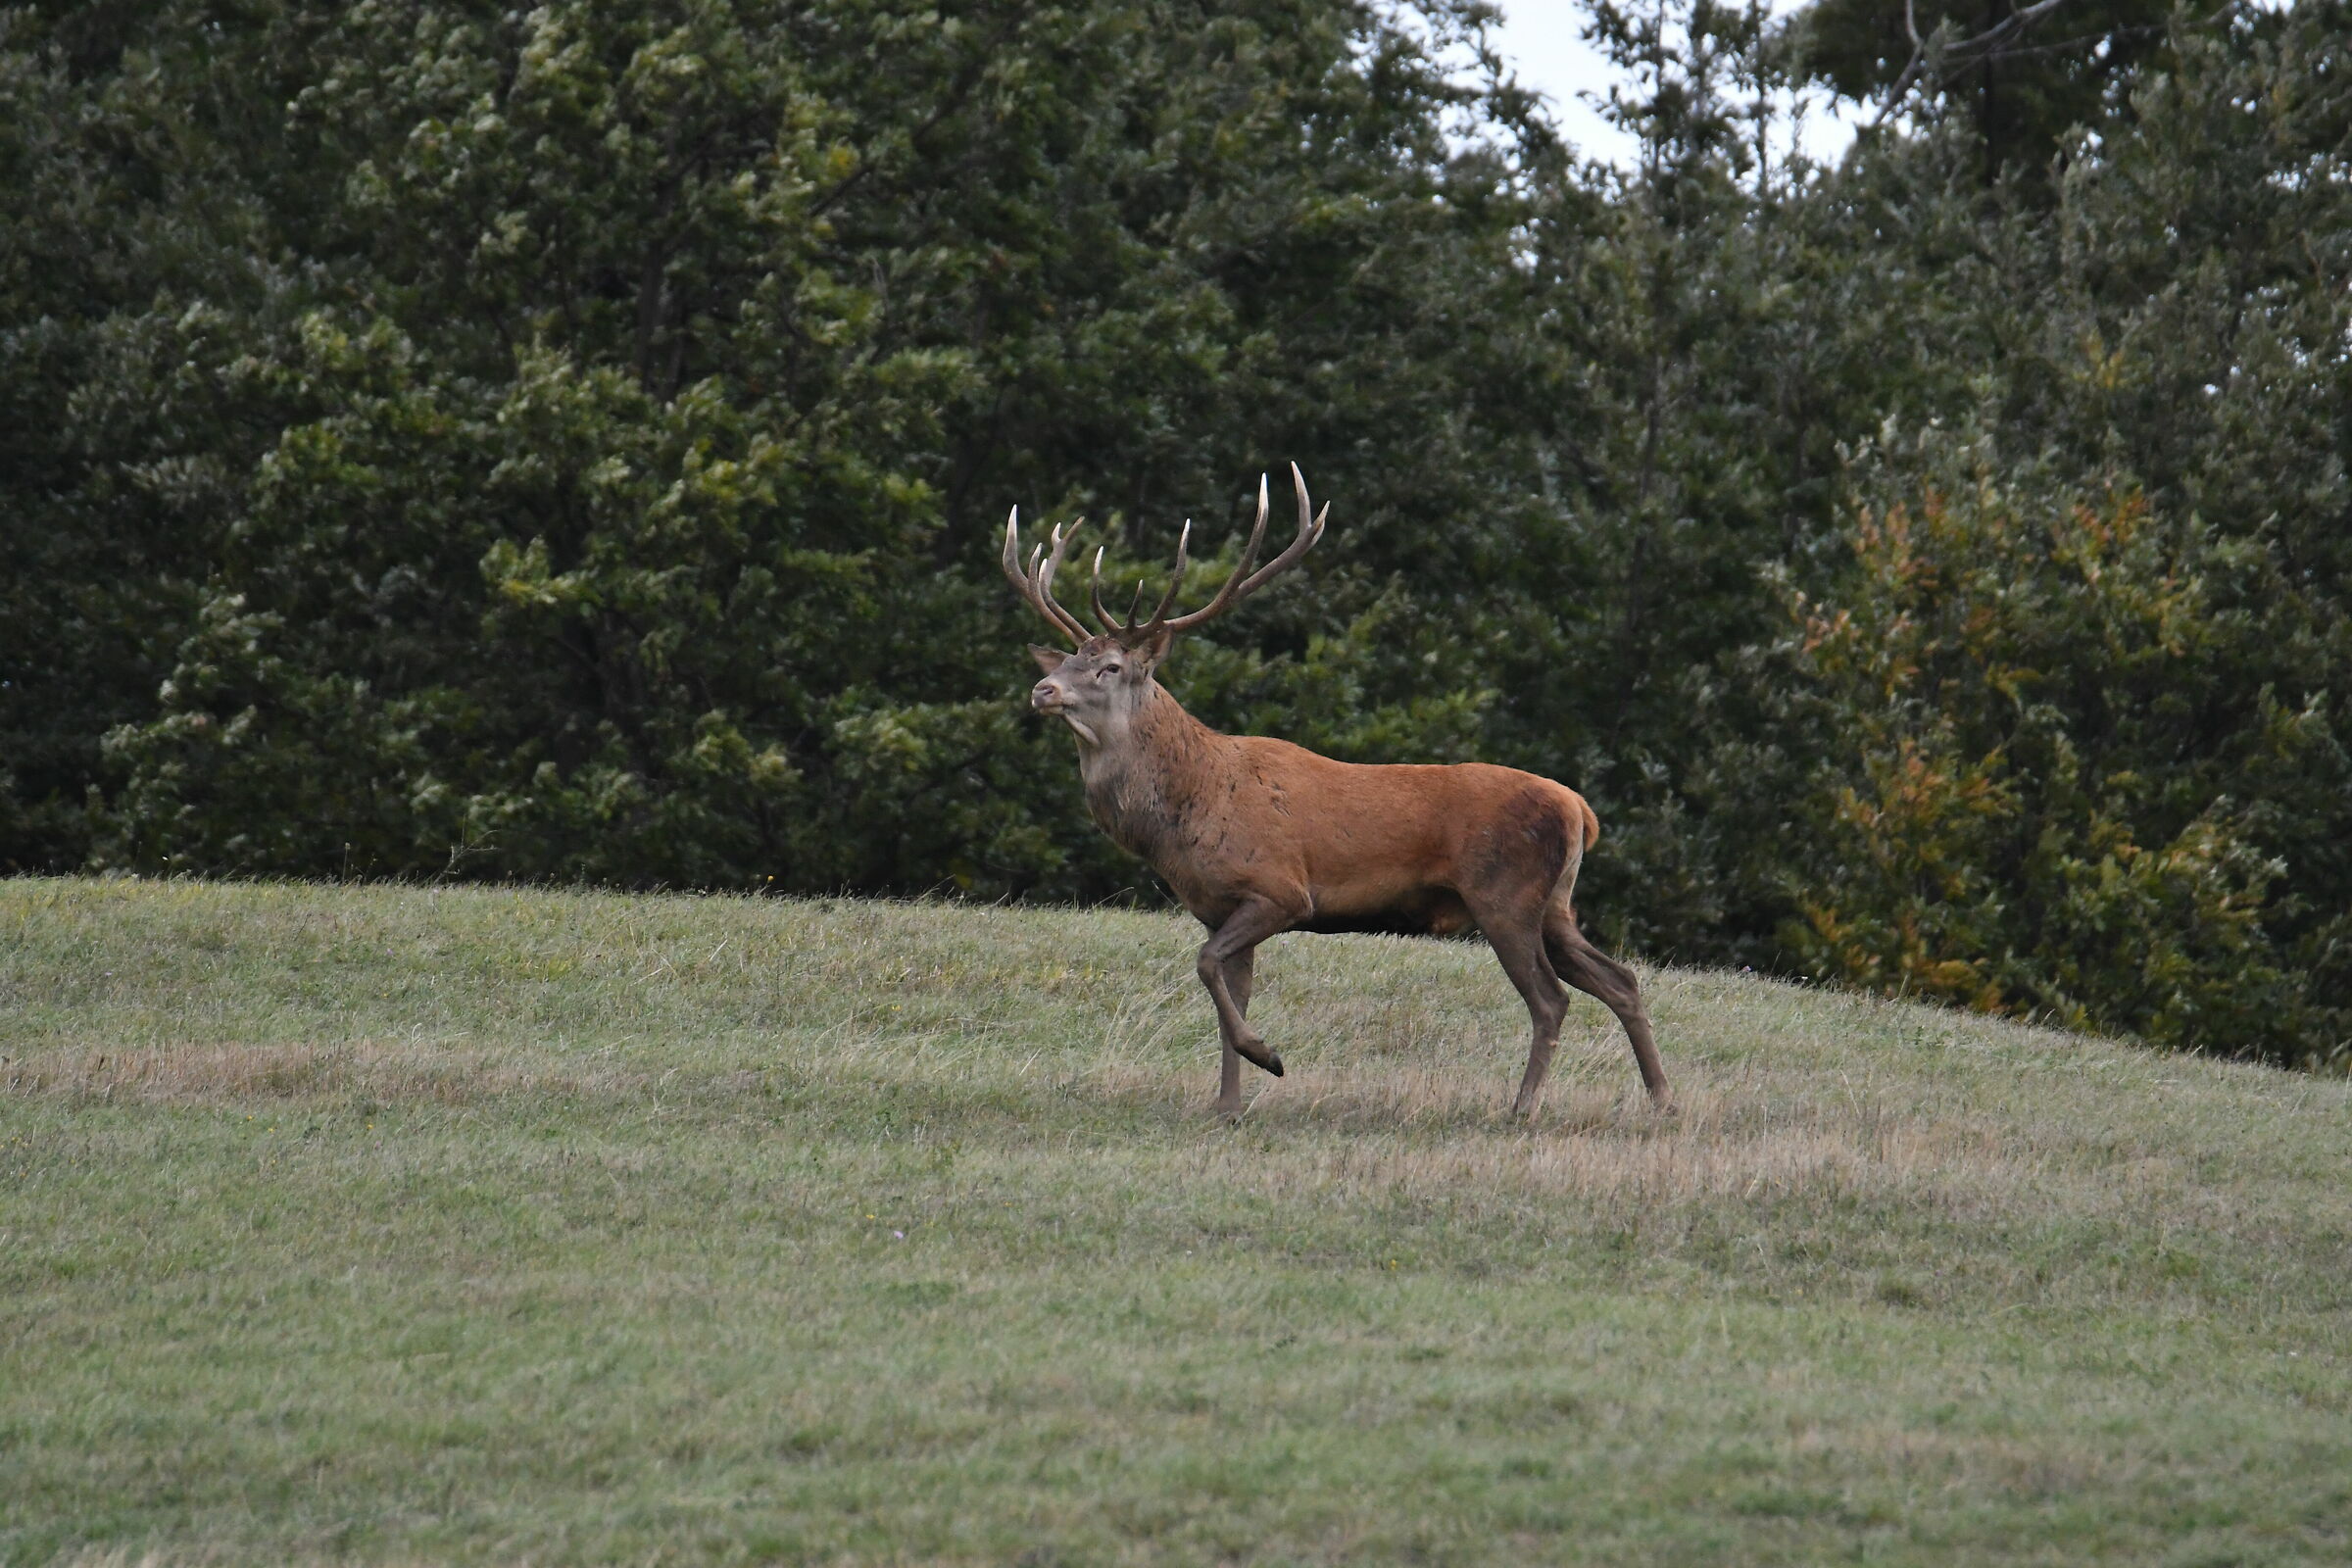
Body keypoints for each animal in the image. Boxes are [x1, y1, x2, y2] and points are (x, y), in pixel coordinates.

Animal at [1002, 465, 1670, 1119]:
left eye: (1110, 667)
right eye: (1068, 659)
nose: (1042, 690)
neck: (1184, 815)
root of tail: (1579, 809)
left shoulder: (1280, 889)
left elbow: (1206, 966)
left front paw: (1267, 1057)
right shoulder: (1220, 905)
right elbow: (1226, 990)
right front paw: (1227, 1106)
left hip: (1505, 894)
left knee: (1550, 999)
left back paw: (1522, 1109)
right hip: (1555, 904)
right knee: (1620, 981)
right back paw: (1661, 1100)